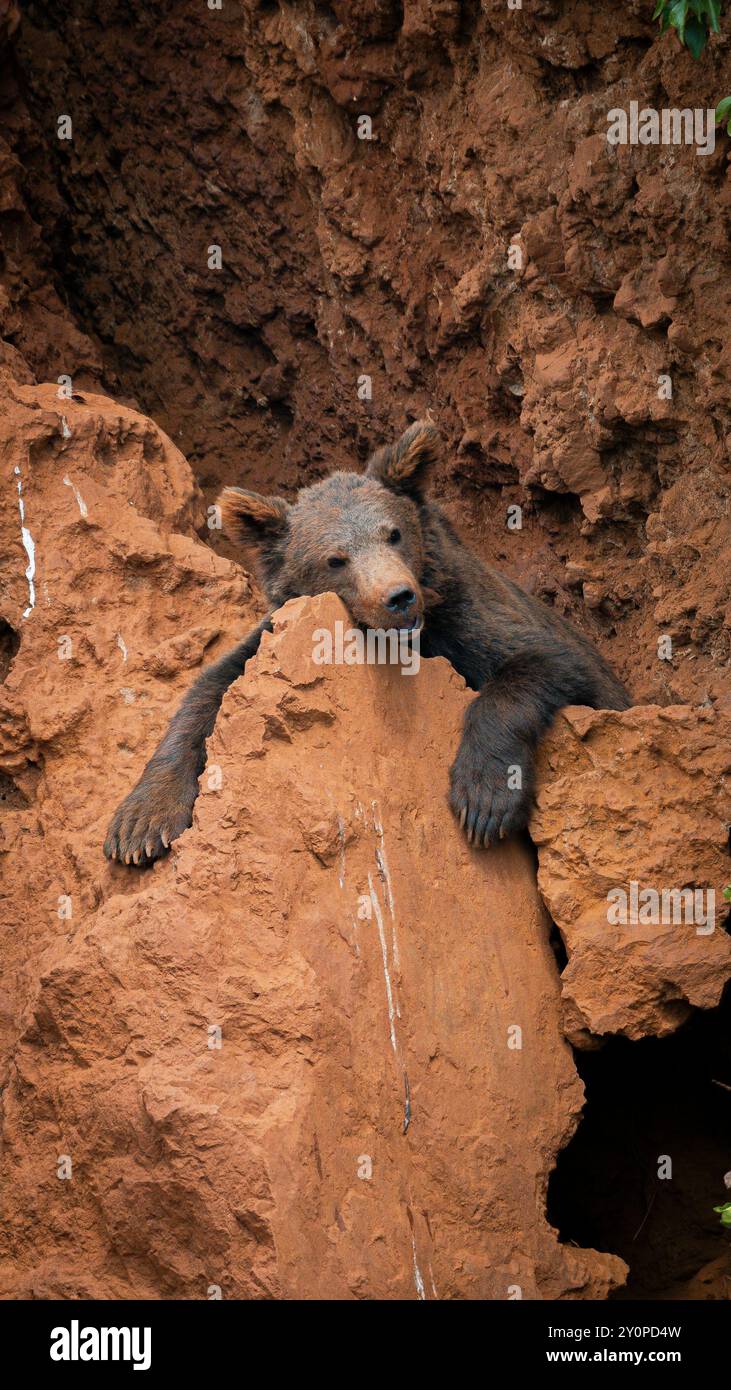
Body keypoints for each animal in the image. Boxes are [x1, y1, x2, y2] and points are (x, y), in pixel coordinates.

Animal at [102, 417, 630, 861]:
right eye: (336, 558)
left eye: (393, 533)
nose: (398, 597)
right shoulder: (275, 635)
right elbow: (210, 690)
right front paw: (140, 825)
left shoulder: (472, 615)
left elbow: (545, 661)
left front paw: (484, 798)